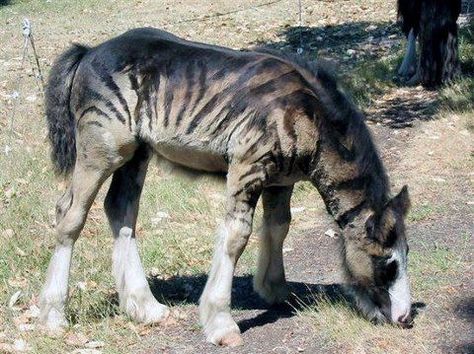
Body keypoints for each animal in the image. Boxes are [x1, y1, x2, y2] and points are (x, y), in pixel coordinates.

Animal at [39, 27, 412, 346]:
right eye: (387, 264)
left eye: (406, 256)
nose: (405, 318)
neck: (308, 114)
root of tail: (88, 52)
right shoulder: (247, 166)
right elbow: (236, 236)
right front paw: (221, 322)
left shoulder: (281, 181)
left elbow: (278, 226)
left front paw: (274, 289)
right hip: (101, 151)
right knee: (69, 215)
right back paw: (53, 315)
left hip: (136, 154)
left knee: (120, 210)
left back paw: (145, 307)